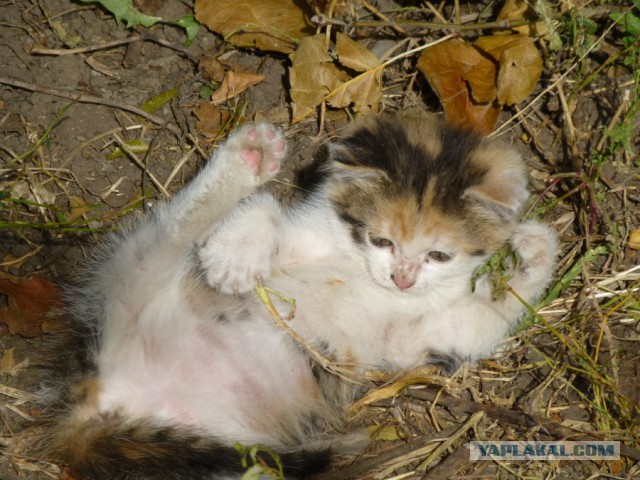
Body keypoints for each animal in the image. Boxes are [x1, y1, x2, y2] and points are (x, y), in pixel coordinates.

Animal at [36, 114, 556, 478]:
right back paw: (246, 159)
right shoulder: (306, 232)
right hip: (129, 276)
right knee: (176, 228)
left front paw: (536, 250)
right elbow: (267, 210)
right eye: (381, 240)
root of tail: (109, 398)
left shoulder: (419, 336)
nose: (403, 279)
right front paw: (234, 256)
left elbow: (483, 317)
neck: (362, 271)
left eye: (439, 255)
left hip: (232, 456)